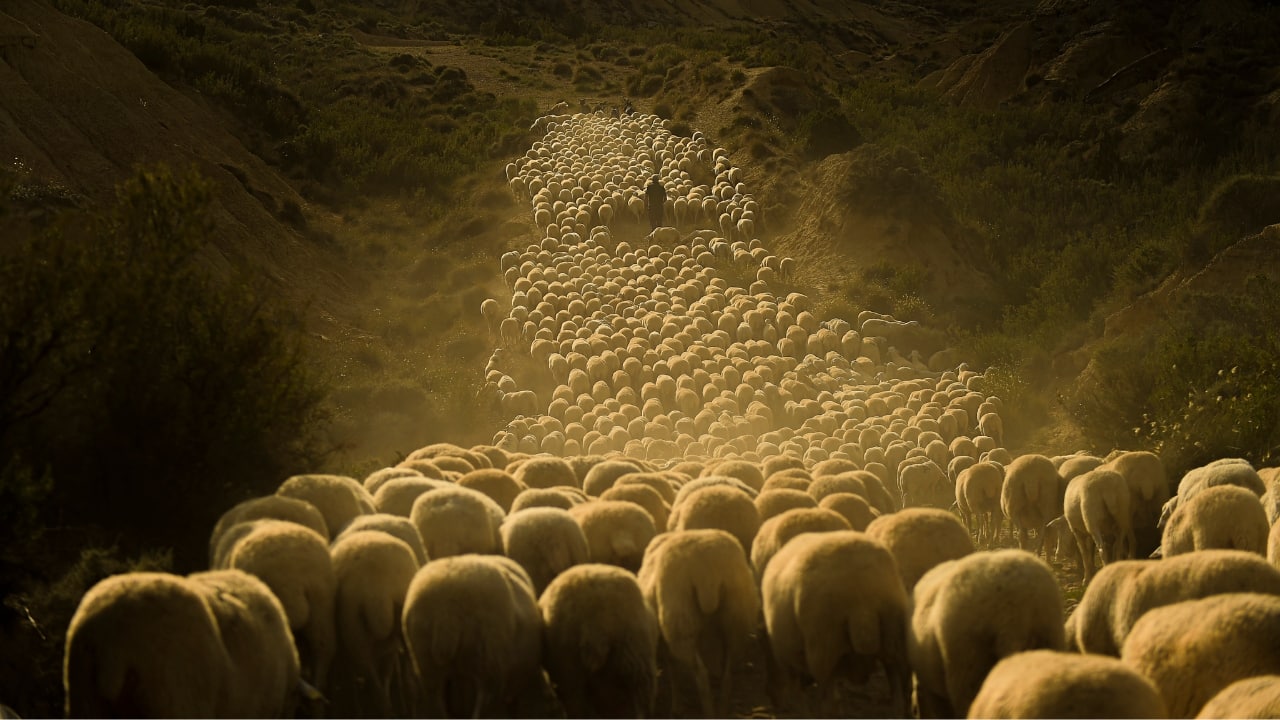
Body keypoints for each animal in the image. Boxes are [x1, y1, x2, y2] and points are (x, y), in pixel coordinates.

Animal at [637, 529, 760, 718]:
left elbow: (672, 668)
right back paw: (722, 710)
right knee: (728, 674)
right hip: (736, 617)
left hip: (682, 623)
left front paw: (676, 706)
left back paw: (709, 712)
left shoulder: (665, 637)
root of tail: (707, 572)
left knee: (701, 674)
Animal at [762, 530, 911, 717]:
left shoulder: (791, 658)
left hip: (824, 645)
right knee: (898, 685)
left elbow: (799, 690)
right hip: (894, 638)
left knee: (827, 695)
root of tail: (861, 599)